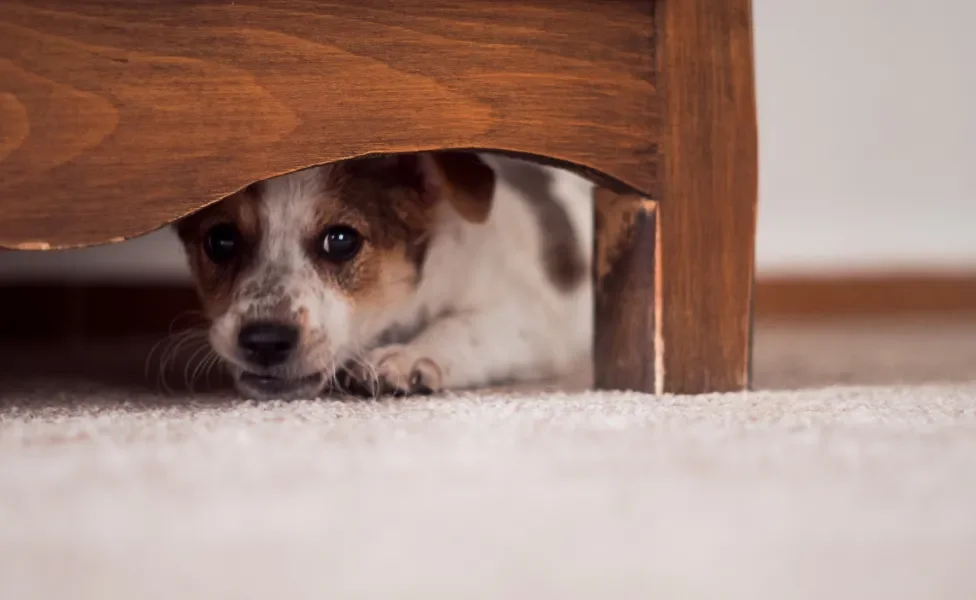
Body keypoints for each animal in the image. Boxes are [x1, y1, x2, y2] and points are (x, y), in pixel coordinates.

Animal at [173, 152, 596, 400]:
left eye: (341, 240)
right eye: (221, 241)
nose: (265, 341)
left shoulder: (531, 317)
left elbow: (464, 324)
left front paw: (410, 356)